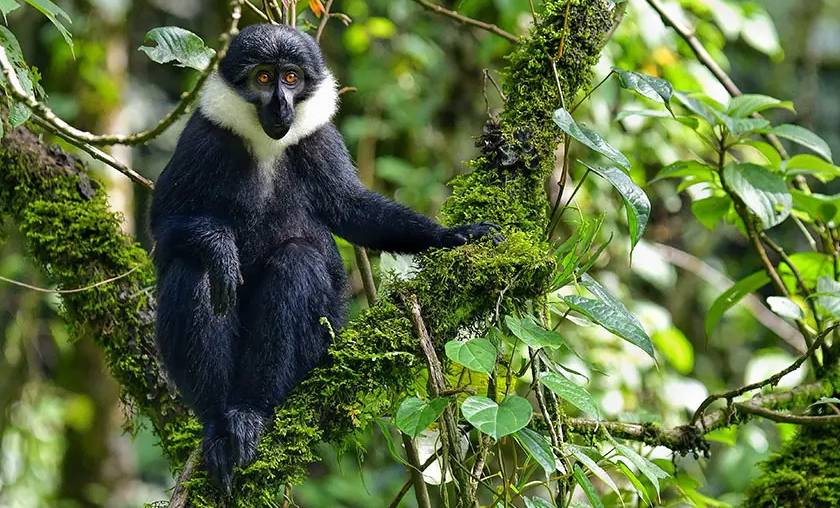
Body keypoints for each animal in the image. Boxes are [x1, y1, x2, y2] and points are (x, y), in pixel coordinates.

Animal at [150, 23, 499, 493]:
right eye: (264, 78)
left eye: (291, 78)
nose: (281, 105)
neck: (265, 143)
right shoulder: (201, 140)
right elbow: (163, 224)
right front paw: (218, 244)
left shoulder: (321, 141)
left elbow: (353, 211)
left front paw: (454, 236)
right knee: (193, 268)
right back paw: (219, 424)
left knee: (298, 262)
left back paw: (252, 411)